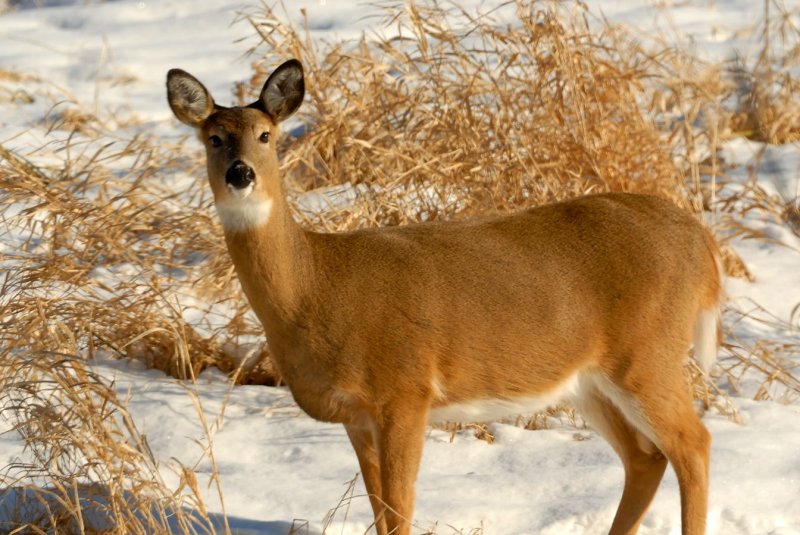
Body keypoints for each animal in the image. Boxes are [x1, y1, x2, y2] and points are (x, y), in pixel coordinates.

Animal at [169, 59, 724, 535]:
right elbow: (379, 510)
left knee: (693, 444)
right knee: (646, 458)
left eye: (267, 135)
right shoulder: (356, 417)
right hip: (589, 382)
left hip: (647, 355)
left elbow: (400, 510)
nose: (241, 173)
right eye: (213, 138)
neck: (317, 288)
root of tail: (703, 244)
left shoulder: (405, 391)